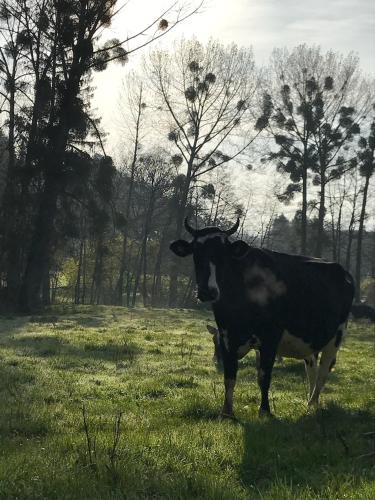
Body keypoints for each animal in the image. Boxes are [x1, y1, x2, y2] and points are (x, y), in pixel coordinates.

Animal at [170, 219, 356, 418]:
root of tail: (343, 271)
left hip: (337, 336)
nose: (207, 291)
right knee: (311, 370)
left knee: (323, 371)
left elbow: (264, 377)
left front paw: (265, 411)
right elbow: (229, 377)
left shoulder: (270, 338)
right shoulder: (228, 337)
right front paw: (227, 412)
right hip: (311, 339)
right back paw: (310, 403)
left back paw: (313, 403)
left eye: (224, 254)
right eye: (196, 252)